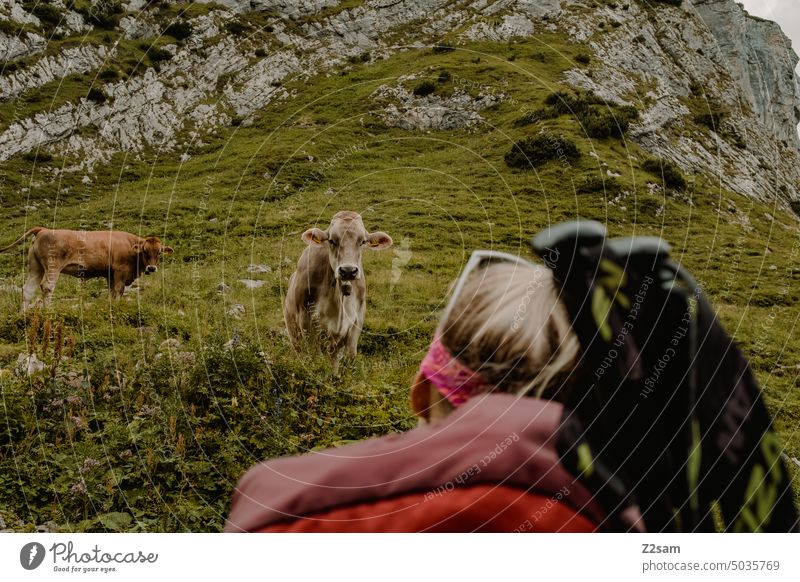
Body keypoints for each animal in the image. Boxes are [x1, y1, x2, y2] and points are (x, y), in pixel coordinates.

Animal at [0, 228, 174, 310]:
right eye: (145, 251)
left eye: (159, 252)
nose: (152, 268)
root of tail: (43, 229)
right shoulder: (120, 271)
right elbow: (118, 291)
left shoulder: (109, 274)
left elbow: (112, 292)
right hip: (53, 267)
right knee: (47, 287)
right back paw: (48, 311)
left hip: (35, 268)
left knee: (28, 289)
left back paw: (22, 315)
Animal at [284, 212, 394, 372]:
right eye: (331, 240)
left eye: (362, 241)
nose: (348, 270)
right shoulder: (306, 321)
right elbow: (313, 358)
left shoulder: (357, 321)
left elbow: (350, 356)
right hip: (294, 333)